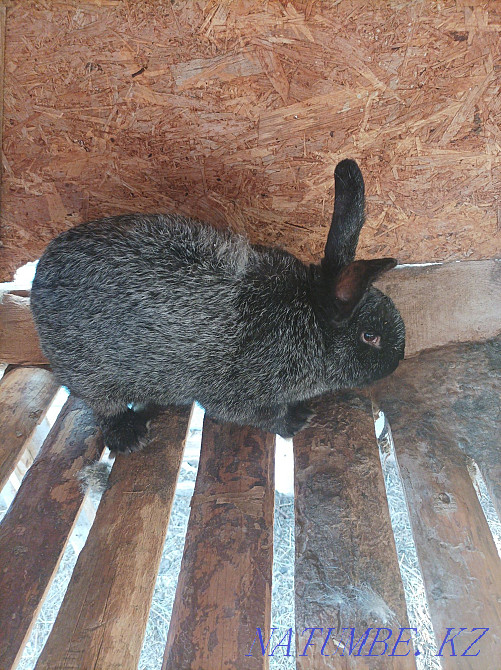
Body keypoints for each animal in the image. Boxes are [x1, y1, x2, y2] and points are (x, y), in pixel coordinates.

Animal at [30, 159, 405, 452]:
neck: (311, 316)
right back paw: (128, 436)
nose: (397, 361)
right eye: (370, 336)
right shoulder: (235, 395)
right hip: (91, 374)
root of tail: (38, 280)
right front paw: (298, 418)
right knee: (103, 407)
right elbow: (261, 415)